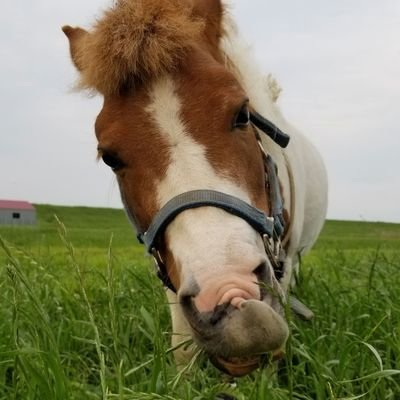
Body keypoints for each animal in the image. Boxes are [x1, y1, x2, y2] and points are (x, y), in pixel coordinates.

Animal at [61, 0, 326, 376]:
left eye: (242, 114)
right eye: (110, 156)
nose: (230, 293)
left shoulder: (282, 263)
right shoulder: (170, 270)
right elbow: (183, 349)